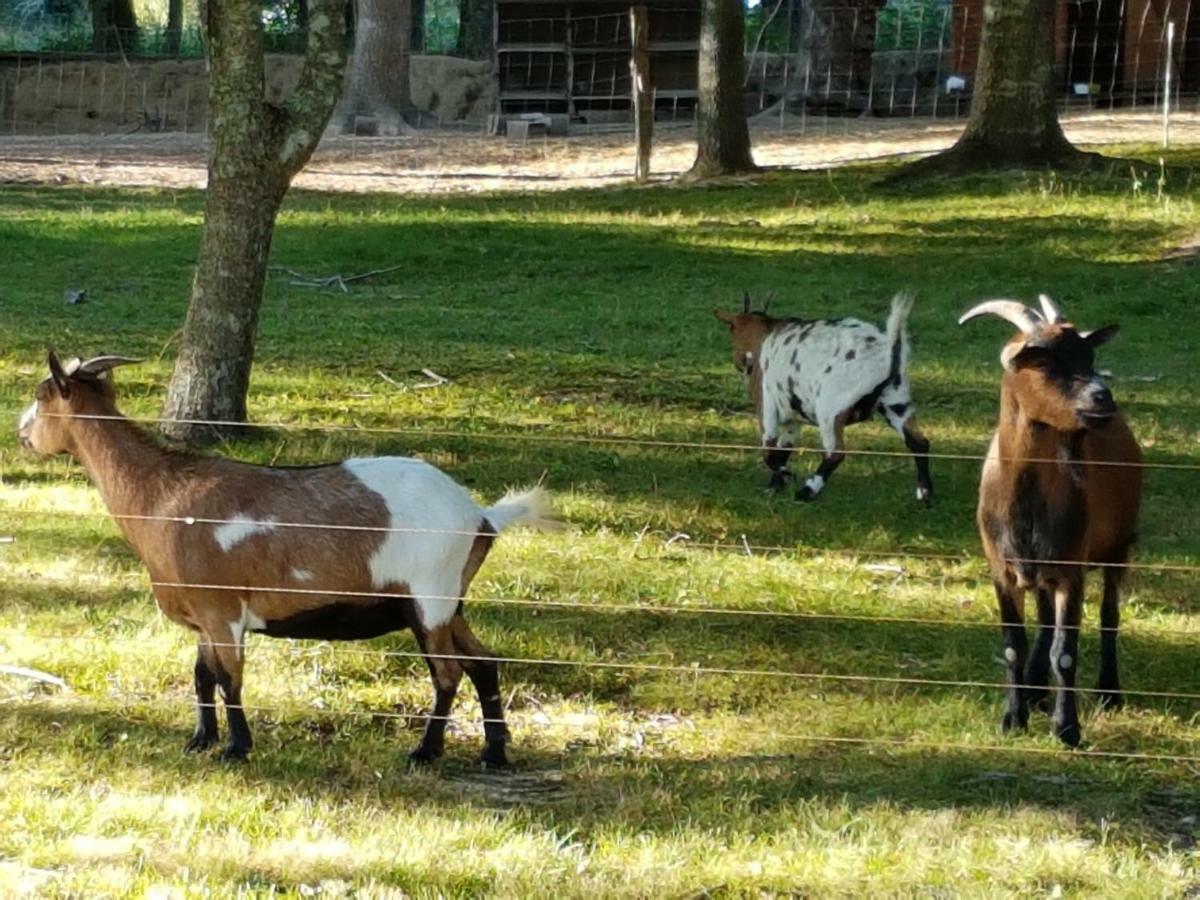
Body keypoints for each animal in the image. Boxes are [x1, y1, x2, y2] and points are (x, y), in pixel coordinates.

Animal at [17, 352, 561, 768]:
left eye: (42, 397)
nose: (22, 433)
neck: (162, 495)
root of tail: (481, 517)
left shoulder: (223, 609)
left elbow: (229, 678)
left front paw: (235, 748)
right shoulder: (202, 617)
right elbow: (202, 674)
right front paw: (200, 740)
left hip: (430, 595)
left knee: (448, 673)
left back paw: (424, 753)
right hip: (449, 603)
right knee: (484, 663)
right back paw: (494, 753)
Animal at [715, 292, 931, 504]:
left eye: (732, 328)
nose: (741, 361)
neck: (762, 339)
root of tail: (888, 349)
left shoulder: (767, 407)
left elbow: (769, 452)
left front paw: (787, 477)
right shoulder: (793, 419)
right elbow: (783, 449)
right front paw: (775, 485)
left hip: (830, 408)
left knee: (836, 452)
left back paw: (807, 491)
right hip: (896, 399)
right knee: (919, 442)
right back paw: (925, 493)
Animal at [955, 296, 1142, 748]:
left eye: (1089, 355)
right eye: (1041, 361)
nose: (1101, 397)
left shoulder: (1072, 569)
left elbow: (1066, 652)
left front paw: (1067, 729)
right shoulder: (1002, 569)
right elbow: (1013, 646)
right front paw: (1013, 718)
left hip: (1117, 547)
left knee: (1109, 616)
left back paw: (1108, 692)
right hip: (1040, 568)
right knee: (1042, 618)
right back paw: (1036, 690)